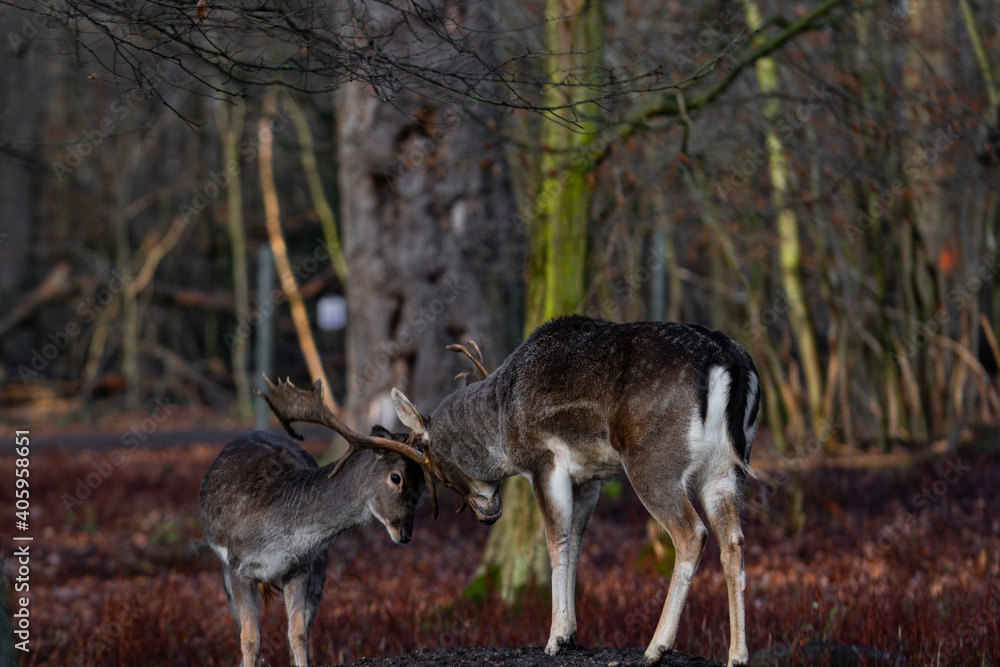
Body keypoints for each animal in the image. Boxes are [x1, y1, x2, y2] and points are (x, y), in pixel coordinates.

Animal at [200, 381, 432, 667]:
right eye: (396, 477)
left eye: (422, 485)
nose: (405, 533)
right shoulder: (238, 566)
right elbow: (250, 638)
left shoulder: (300, 565)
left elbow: (297, 633)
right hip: (224, 569)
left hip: (320, 564)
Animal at [259, 316, 762, 667]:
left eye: (432, 470)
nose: (485, 514)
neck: (500, 418)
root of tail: (731, 362)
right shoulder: (591, 476)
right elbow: (575, 541)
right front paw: (572, 632)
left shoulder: (544, 459)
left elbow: (554, 540)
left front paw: (555, 638)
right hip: (726, 468)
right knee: (734, 540)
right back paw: (738, 654)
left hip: (652, 462)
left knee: (691, 533)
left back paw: (657, 647)